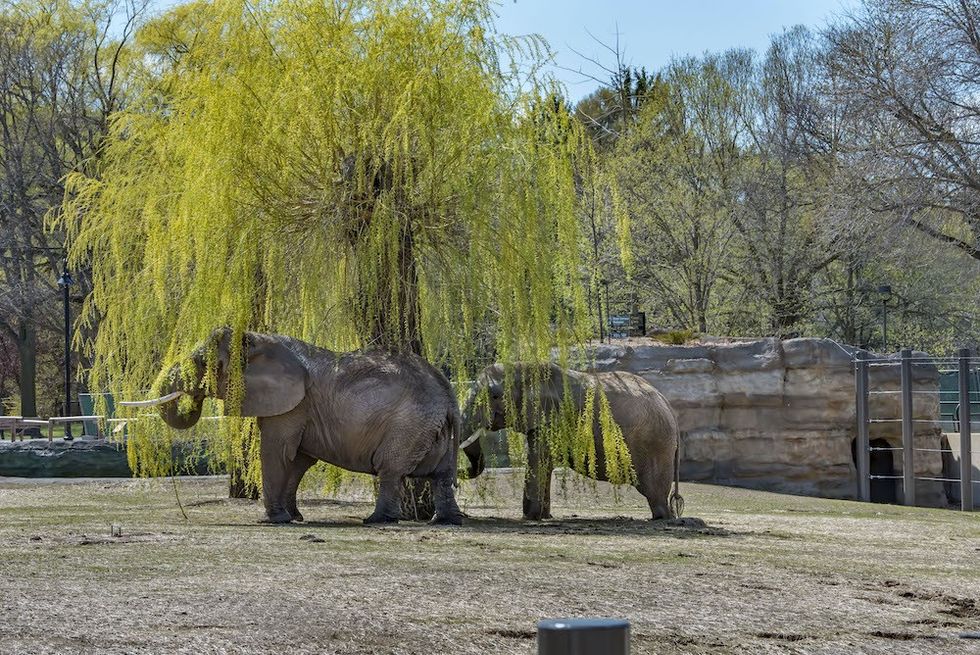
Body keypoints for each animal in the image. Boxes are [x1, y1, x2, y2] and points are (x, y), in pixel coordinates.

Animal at [129, 328, 464, 525]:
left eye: (205, 364)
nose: (194, 395)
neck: (260, 339)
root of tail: (448, 396)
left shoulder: (291, 404)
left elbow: (275, 452)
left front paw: (272, 520)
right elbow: (299, 460)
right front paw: (295, 517)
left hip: (408, 425)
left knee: (390, 469)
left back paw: (377, 520)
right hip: (432, 428)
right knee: (442, 476)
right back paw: (446, 521)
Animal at [460, 363, 679, 520]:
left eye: (495, 396)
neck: (525, 366)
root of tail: (667, 404)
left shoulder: (551, 418)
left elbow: (538, 459)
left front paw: (530, 517)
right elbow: (544, 462)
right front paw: (544, 516)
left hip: (656, 445)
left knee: (654, 492)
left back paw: (661, 518)